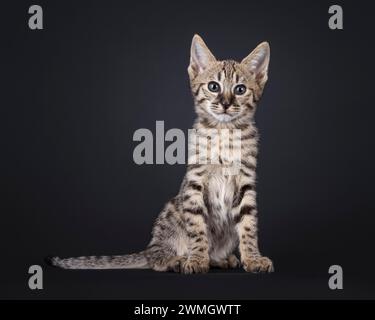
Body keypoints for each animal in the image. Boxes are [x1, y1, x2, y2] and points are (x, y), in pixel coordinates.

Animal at [49, 35, 274, 276]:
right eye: (214, 86)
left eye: (240, 89)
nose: (225, 103)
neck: (224, 131)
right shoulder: (194, 182)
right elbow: (197, 228)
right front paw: (196, 259)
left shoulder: (246, 183)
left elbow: (249, 226)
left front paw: (253, 258)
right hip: (172, 210)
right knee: (156, 257)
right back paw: (177, 260)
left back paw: (222, 259)